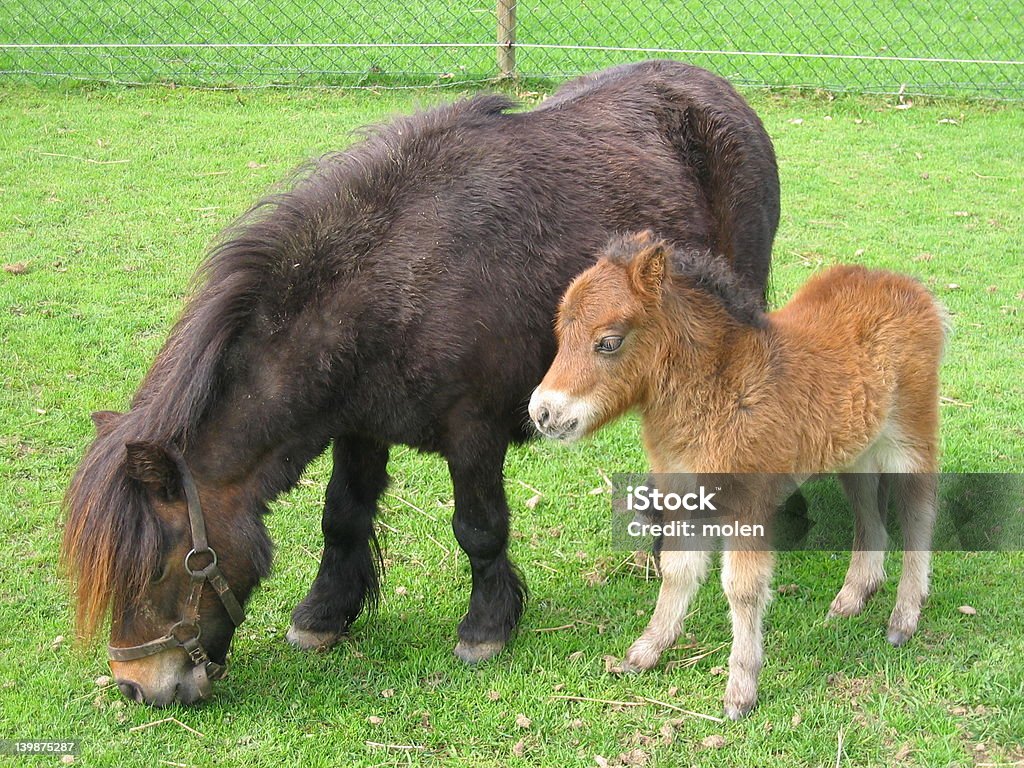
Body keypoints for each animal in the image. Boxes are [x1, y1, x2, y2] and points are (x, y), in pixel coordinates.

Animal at [64, 61, 778, 708]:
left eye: (161, 568)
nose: (136, 685)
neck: (392, 293)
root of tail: (717, 87)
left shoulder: (474, 430)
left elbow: (479, 528)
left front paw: (486, 627)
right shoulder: (358, 428)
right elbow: (342, 516)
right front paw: (323, 615)